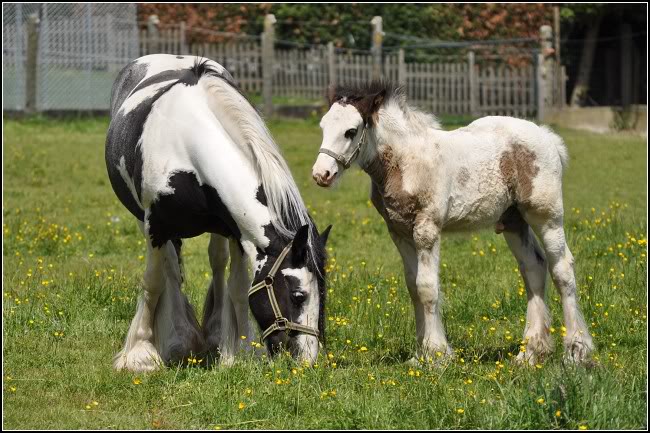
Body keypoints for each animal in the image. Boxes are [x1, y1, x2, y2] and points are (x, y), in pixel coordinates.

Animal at [106, 54, 332, 372]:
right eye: (299, 295)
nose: (307, 359)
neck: (187, 146)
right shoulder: (155, 228)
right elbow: (153, 281)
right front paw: (140, 355)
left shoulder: (236, 232)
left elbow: (238, 287)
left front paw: (240, 352)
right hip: (144, 222)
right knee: (170, 269)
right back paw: (179, 339)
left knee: (215, 263)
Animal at [312, 82, 592, 364]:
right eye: (323, 127)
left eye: (351, 131)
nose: (321, 174)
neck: (406, 162)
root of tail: (548, 136)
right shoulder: (400, 232)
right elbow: (413, 287)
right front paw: (420, 355)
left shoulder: (427, 229)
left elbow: (427, 287)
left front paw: (436, 354)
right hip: (514, 221)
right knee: (533, 267)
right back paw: (531, 353)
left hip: (546, 216)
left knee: (562, 269)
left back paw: (576, 351)